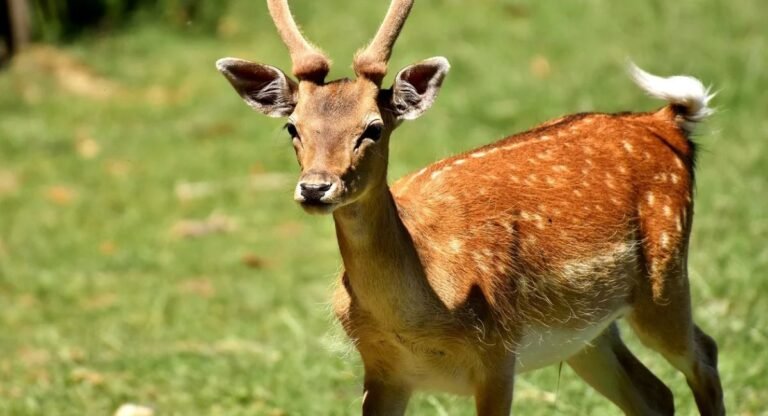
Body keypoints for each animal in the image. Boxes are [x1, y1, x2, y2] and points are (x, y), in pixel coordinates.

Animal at [215, 0, 725, 414]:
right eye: (293, 127)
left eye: (373, 127)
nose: (316, 188)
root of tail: (667, 121)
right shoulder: (381, 371)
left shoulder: (497, 354)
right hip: (586, 333)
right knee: (655, 394)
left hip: (664, 276)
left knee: (705, 354)